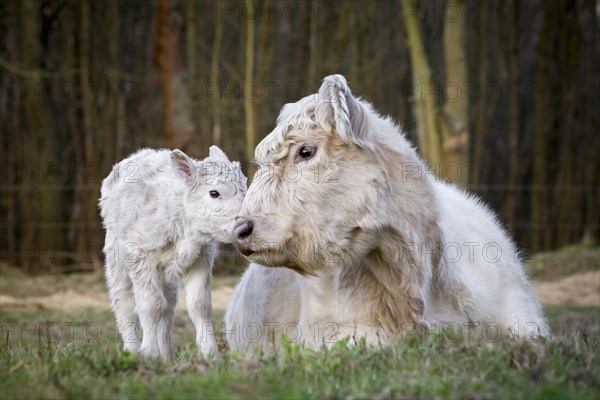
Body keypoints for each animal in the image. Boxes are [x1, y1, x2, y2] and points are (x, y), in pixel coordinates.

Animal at [99, 145, 245, 358]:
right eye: (214, 193)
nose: (245, 225)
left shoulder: (201, 258)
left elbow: (200, 306)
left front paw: (210, 354)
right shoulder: (141, 256)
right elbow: (150, 305)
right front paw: (149, 354)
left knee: (168, 306)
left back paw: (167, 355)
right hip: (116, 256)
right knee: (124, 302)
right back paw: (132, 351)